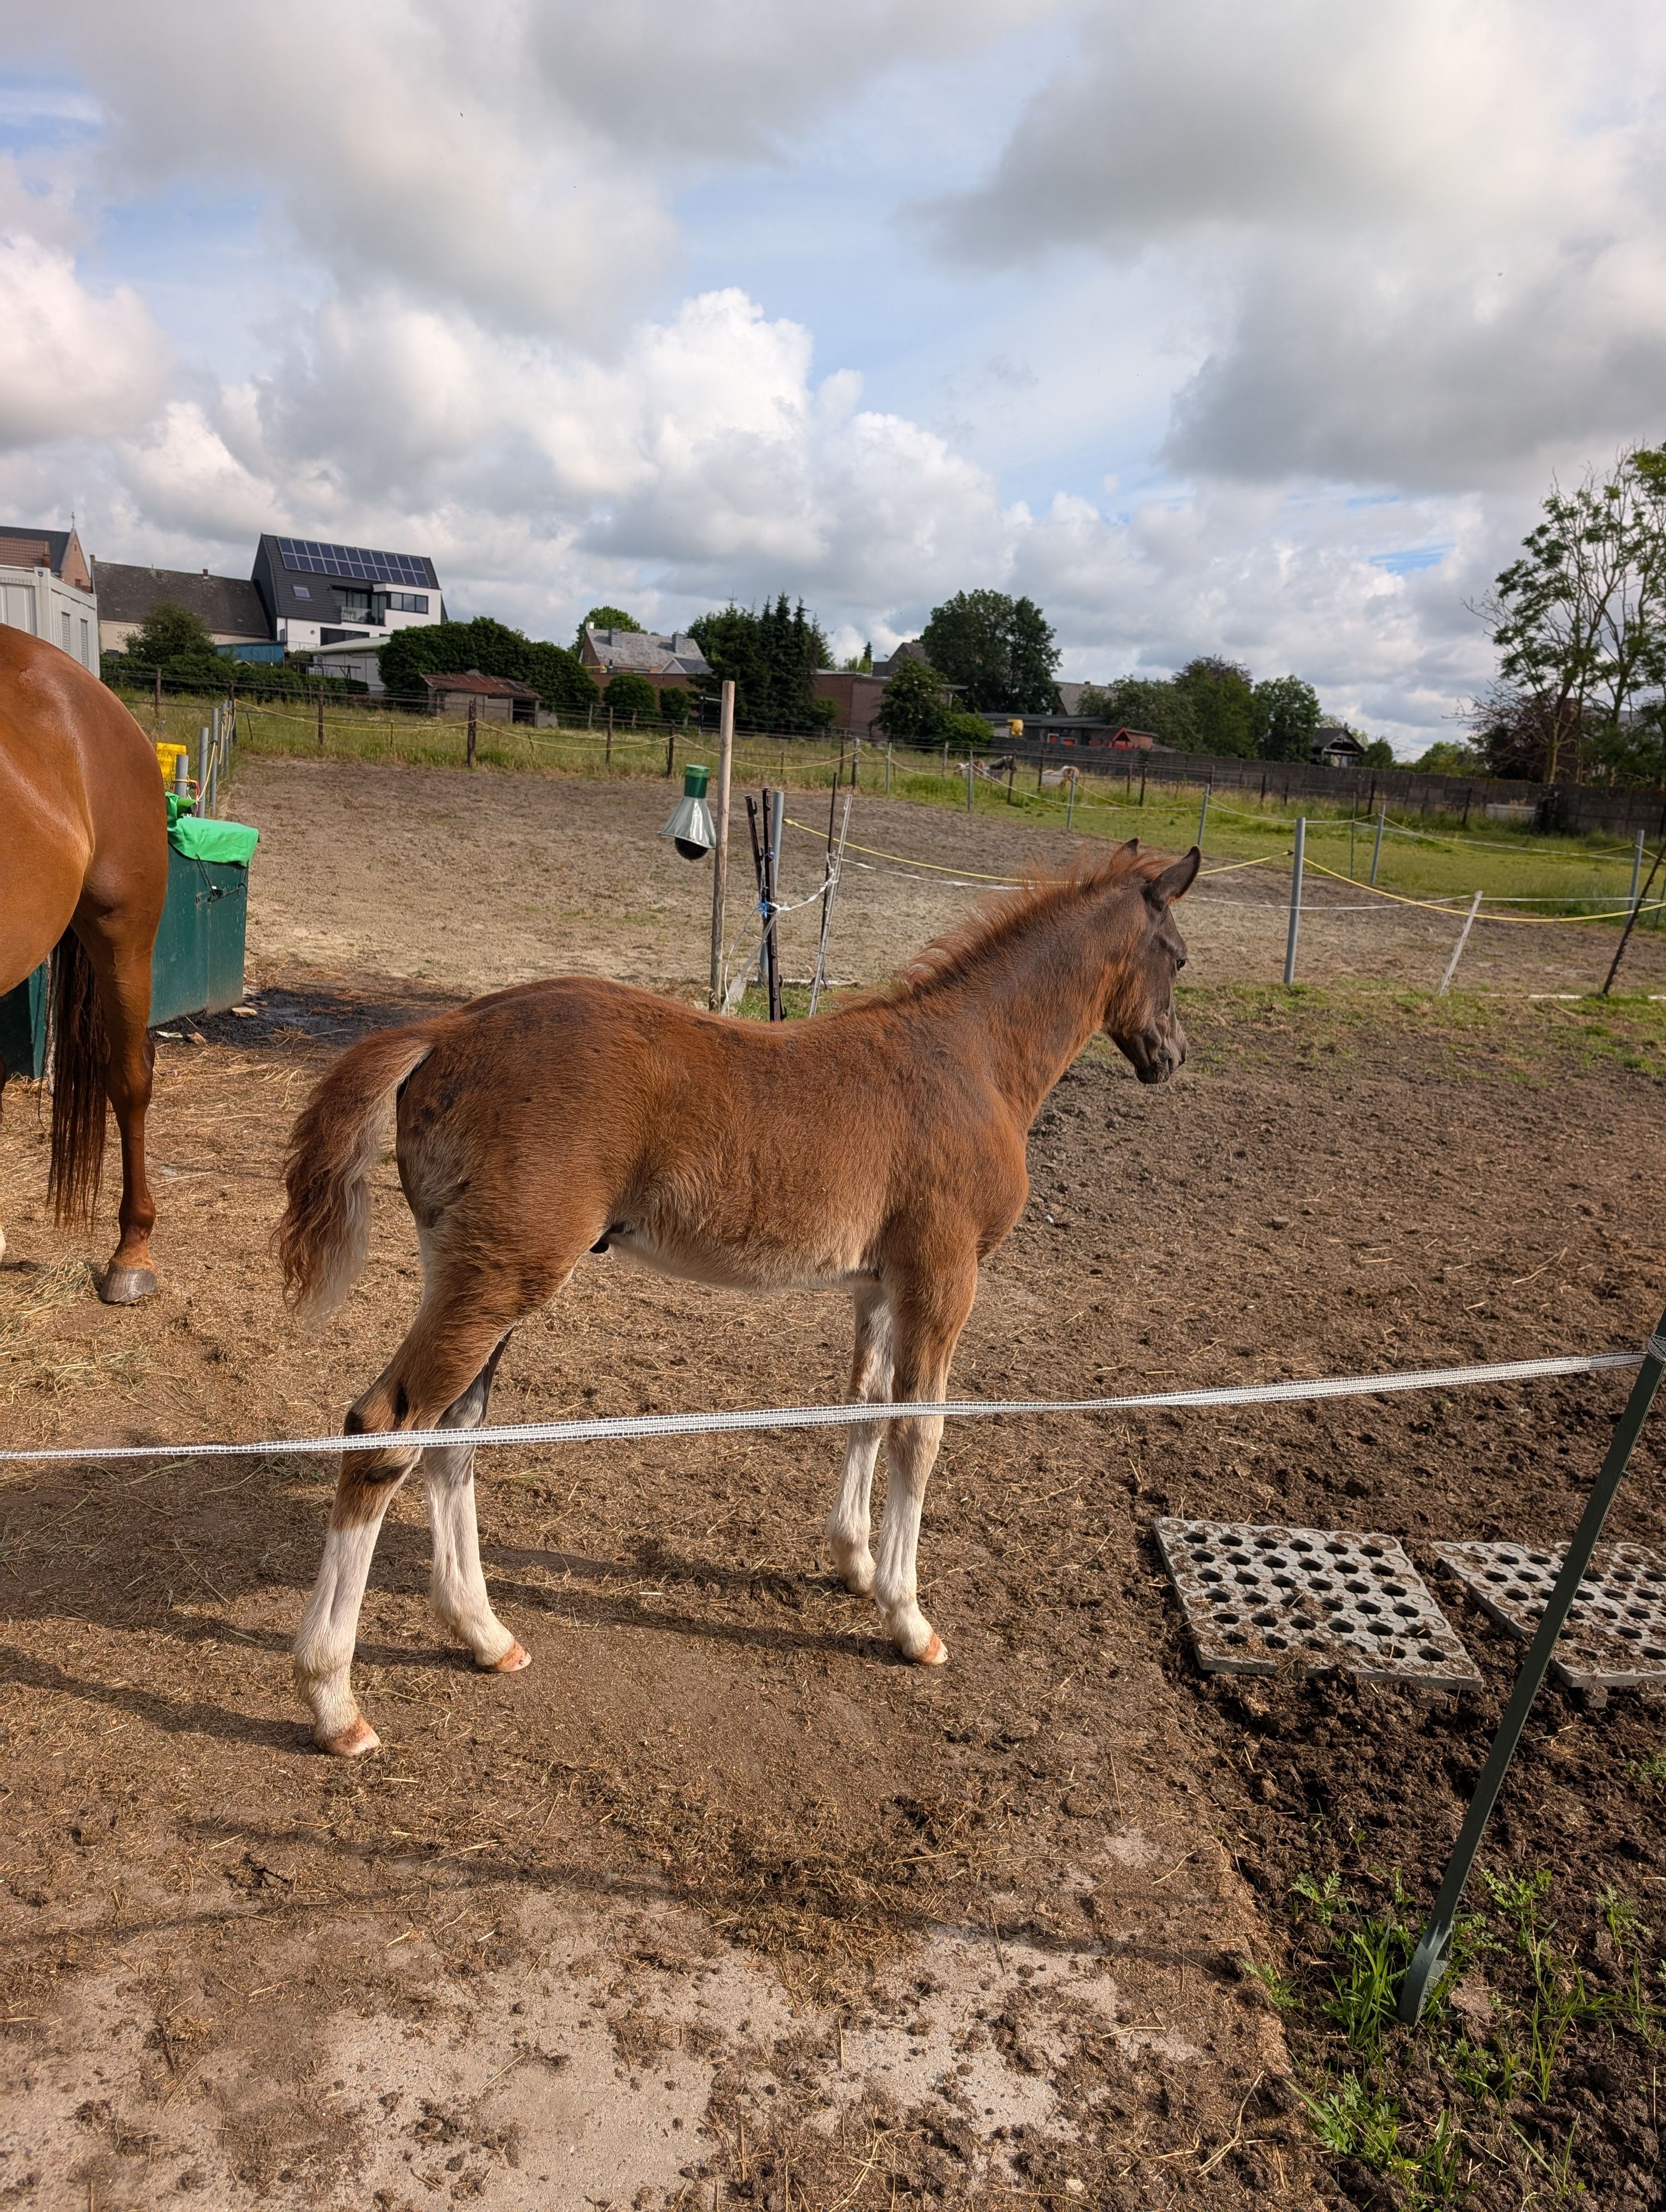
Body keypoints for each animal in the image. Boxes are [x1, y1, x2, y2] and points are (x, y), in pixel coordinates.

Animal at [277, 837, 1200, 1756]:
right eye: (1179, 957)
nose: (1173, 1055)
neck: (971, 1061)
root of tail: (444, 1029)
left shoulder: (878, 1288)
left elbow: (864, 1407)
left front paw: (855, 1562)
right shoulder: (944, 1279)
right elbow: (920, 1432)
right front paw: (908, 1618)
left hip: (480, 1277)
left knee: (455, 1433)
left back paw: (485, 1635)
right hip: (502, 1279)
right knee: (385, 1428)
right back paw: (333, 1698)